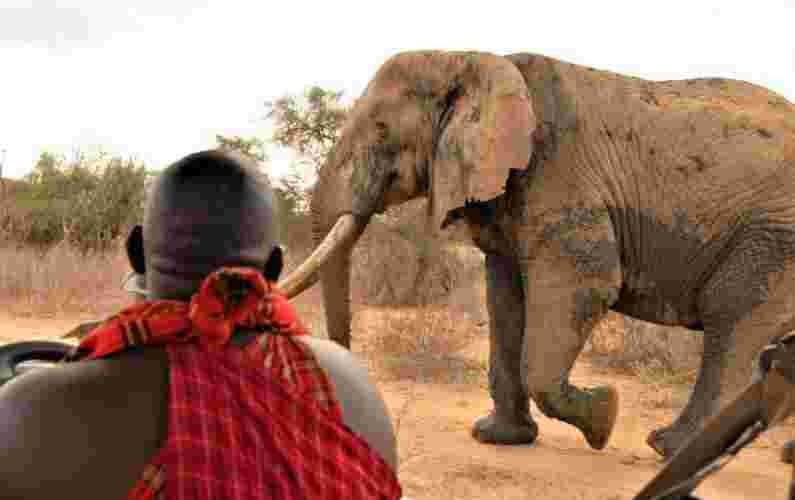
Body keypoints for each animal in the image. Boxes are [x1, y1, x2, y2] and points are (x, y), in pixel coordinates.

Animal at [276, 50, 795, 457]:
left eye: (382, 129)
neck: (473, 60)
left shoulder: (559, 173)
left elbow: (587, 285)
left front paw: (604, 418)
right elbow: (505, 299)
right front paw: (499, 437)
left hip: (772, 238)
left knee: (731, 317)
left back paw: (672, 448)